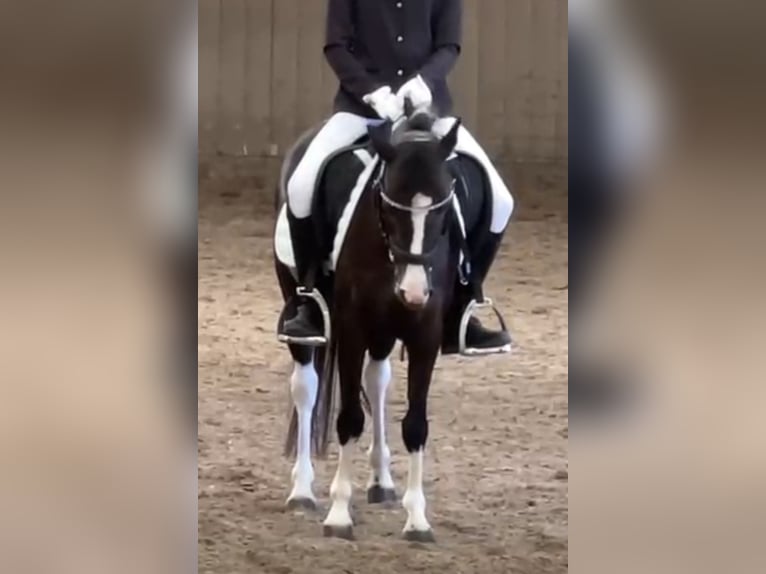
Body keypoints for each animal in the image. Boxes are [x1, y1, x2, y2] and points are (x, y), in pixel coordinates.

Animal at [272, 107, 495, 541]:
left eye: (444, 209)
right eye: (390, 208)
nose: (413, 291)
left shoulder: (425, 334)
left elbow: (415, 425)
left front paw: (417, 519)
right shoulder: (352, 328)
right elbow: (348, 420)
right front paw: (339, 514)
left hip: (384, 331)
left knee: (377, 381)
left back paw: (382, 482)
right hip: (304, 310)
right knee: (306, 387)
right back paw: (302, 490)